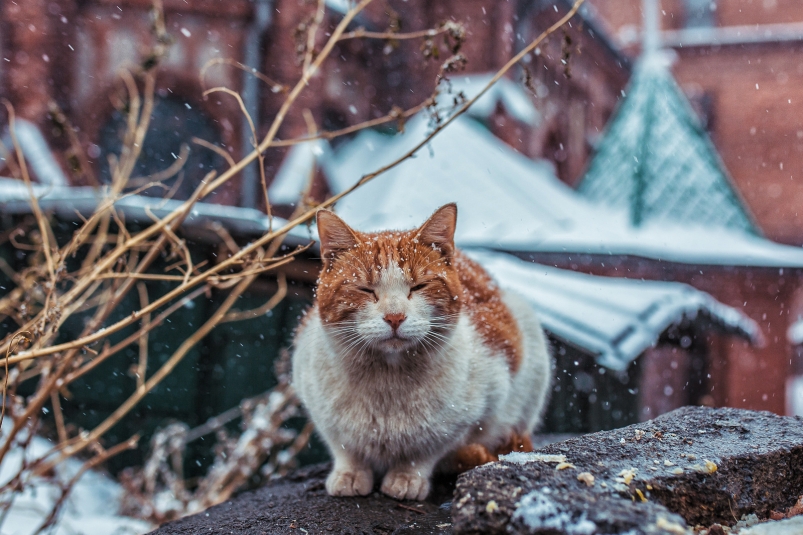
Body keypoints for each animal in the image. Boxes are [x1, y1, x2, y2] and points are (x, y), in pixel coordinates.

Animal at [292, 203, 556, 500]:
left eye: (418, 287)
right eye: (365, 289)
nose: (395, 317)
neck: (387, 382)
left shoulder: (475, 411)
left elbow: (426, 451)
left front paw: (407, 477)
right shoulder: (318, 406)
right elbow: (345, 447)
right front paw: (350, 473)